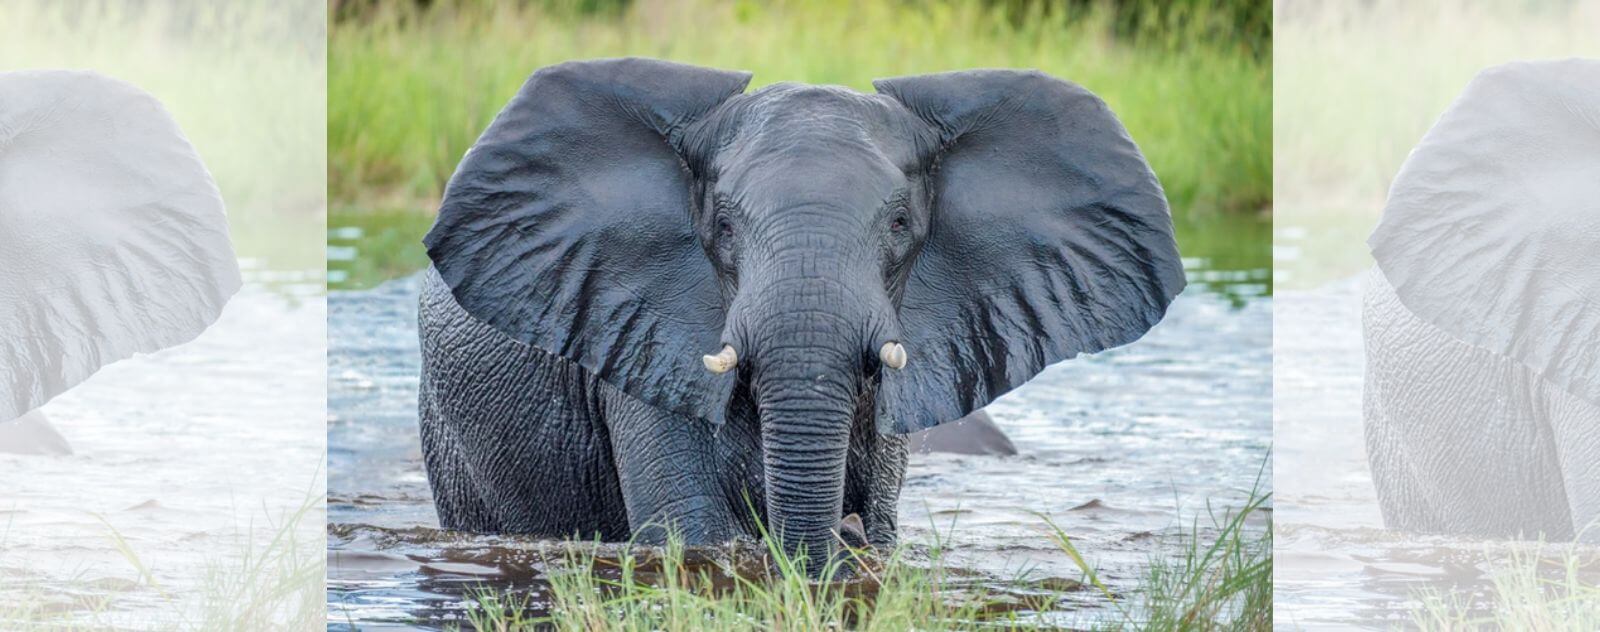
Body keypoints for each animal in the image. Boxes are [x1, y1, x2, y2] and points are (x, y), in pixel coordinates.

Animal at [419, 58, 1184, 563]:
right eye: (724, 226)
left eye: (900, 223)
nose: (842, 529)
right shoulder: (637, 333)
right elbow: (690, 533)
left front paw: (856, 544)